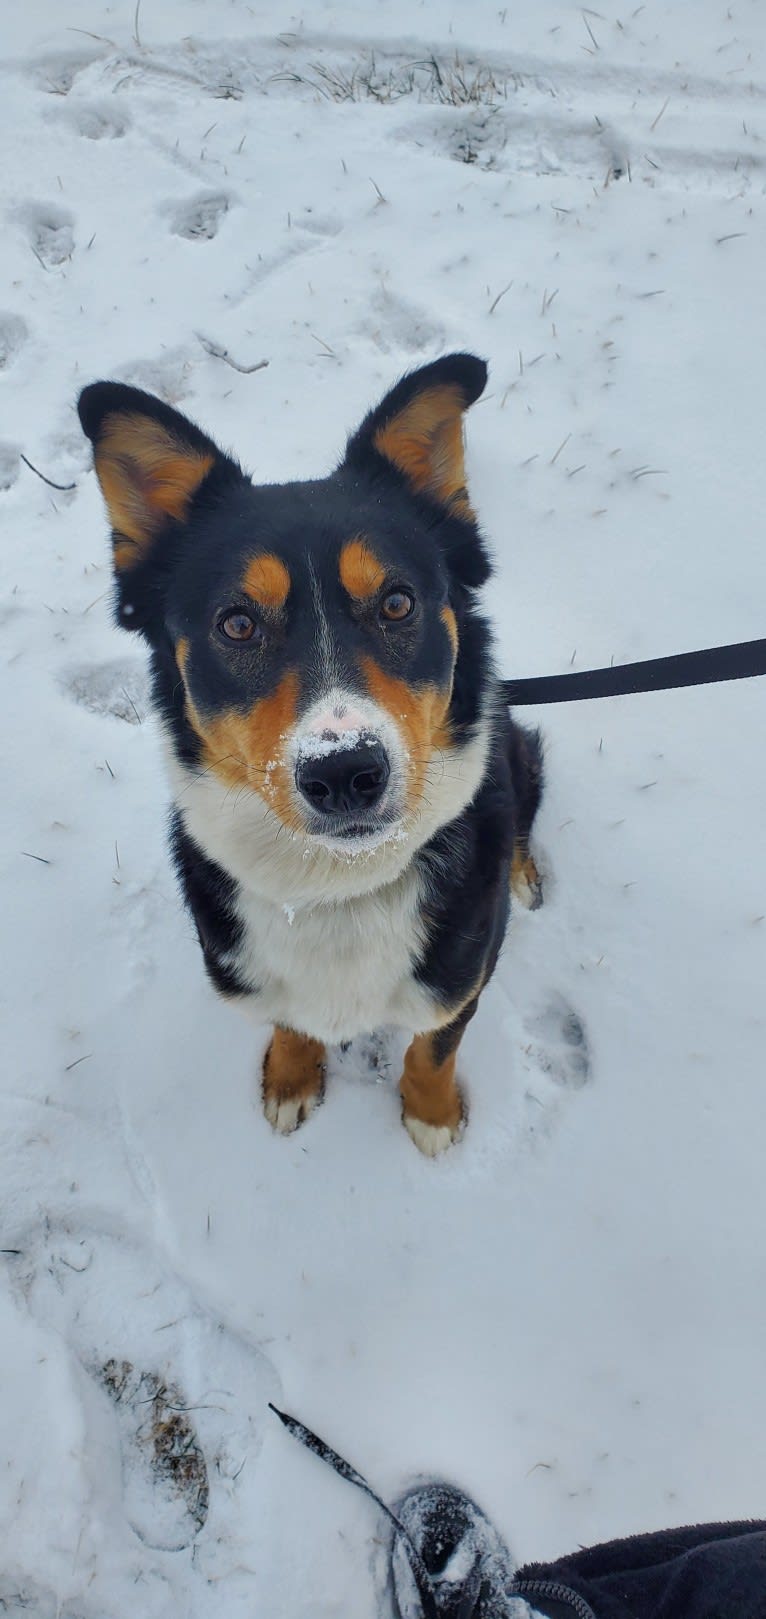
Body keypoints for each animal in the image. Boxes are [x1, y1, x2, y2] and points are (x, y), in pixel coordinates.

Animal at [77, 359, 540, 1159]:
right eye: (236, 623)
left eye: (397, 603)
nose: (344, 772)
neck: (337, 888)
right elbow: (292, 1022)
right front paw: (291, 1080)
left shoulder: (458, 978)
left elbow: (432, 1046)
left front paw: (432, 1115)